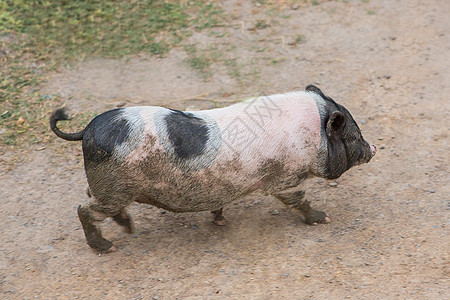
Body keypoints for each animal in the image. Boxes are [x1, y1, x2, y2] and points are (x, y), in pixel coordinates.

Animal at [50, 85, 376, 252]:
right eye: (353, 135)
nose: (373, 148)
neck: (314, 136)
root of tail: (87, 130)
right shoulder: (285, 177)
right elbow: (298, 200)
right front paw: (323, 218)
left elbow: (219, 202)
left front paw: (220, 221)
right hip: (114, 188)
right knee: (84, 209)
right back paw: (107, 246)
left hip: (110, 188)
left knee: (93, 199)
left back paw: (128, 228)